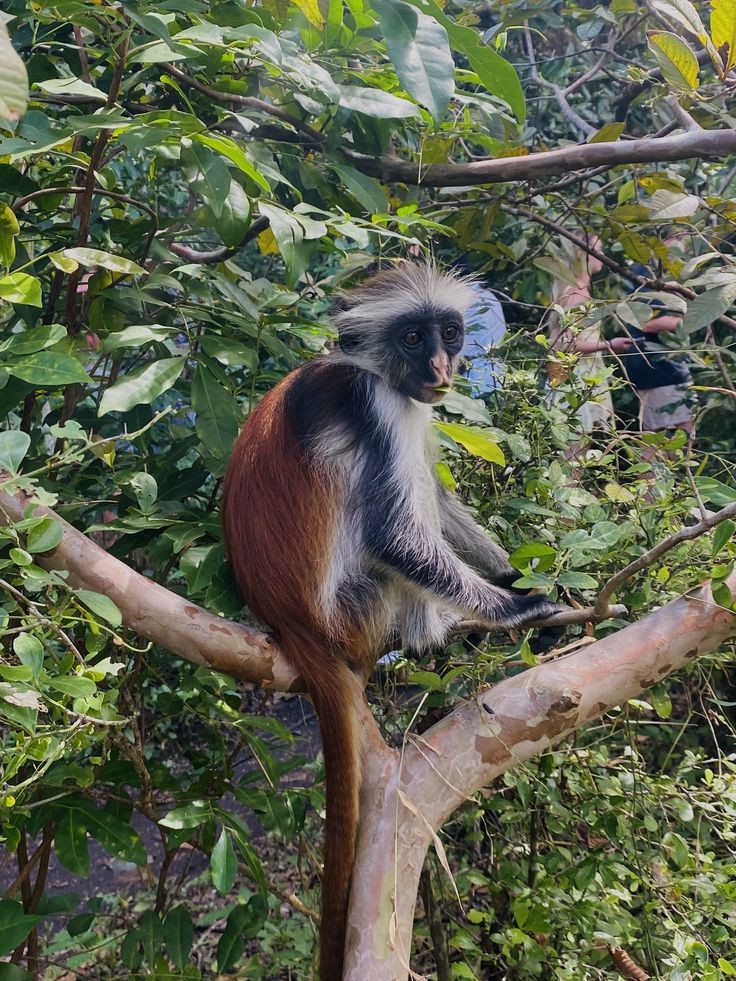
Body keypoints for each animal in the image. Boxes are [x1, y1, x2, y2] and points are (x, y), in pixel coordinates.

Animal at [222, 263, 562, 980]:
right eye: (411, 336)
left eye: (449, 332)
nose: (440, 364)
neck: (369, 367)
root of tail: (293, 627)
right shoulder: (378, 405)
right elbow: (393, 534)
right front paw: (514, 608)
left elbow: (440, 499)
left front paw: (520, 581)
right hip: (356, 605)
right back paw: (436, 635)